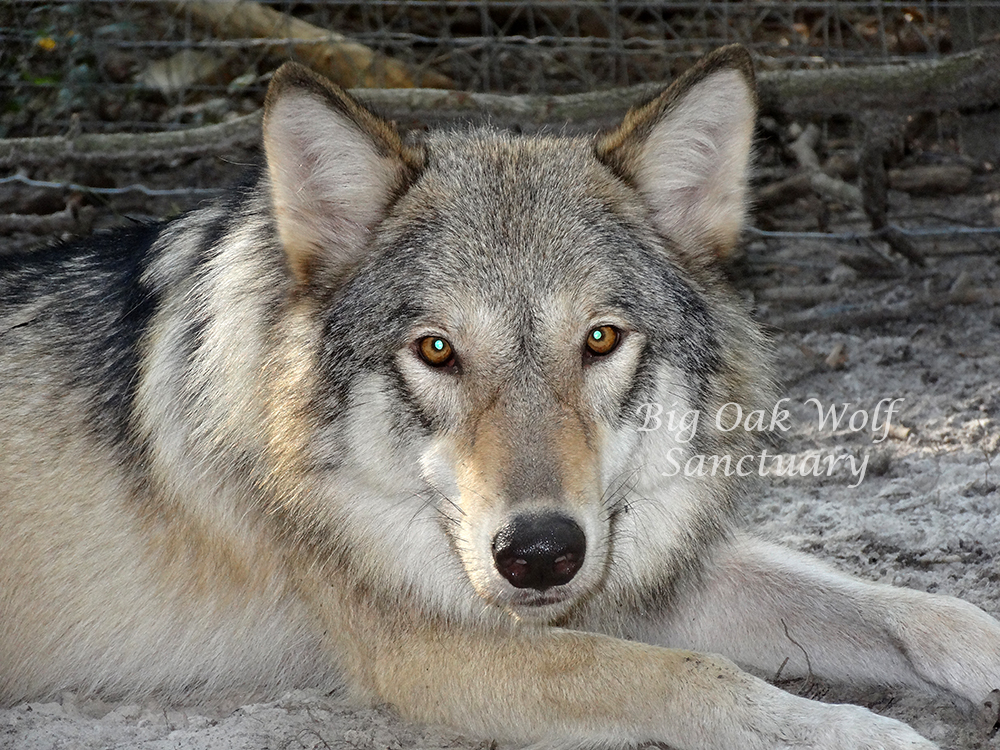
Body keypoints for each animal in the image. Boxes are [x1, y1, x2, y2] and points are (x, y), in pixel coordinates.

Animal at [1, 45, 998, 750]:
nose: (541, 555)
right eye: (437, 350)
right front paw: (864, 735)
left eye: (599, 339)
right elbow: (690, 676)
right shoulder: (432, 650)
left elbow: (923, 609)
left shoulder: (638, 569)